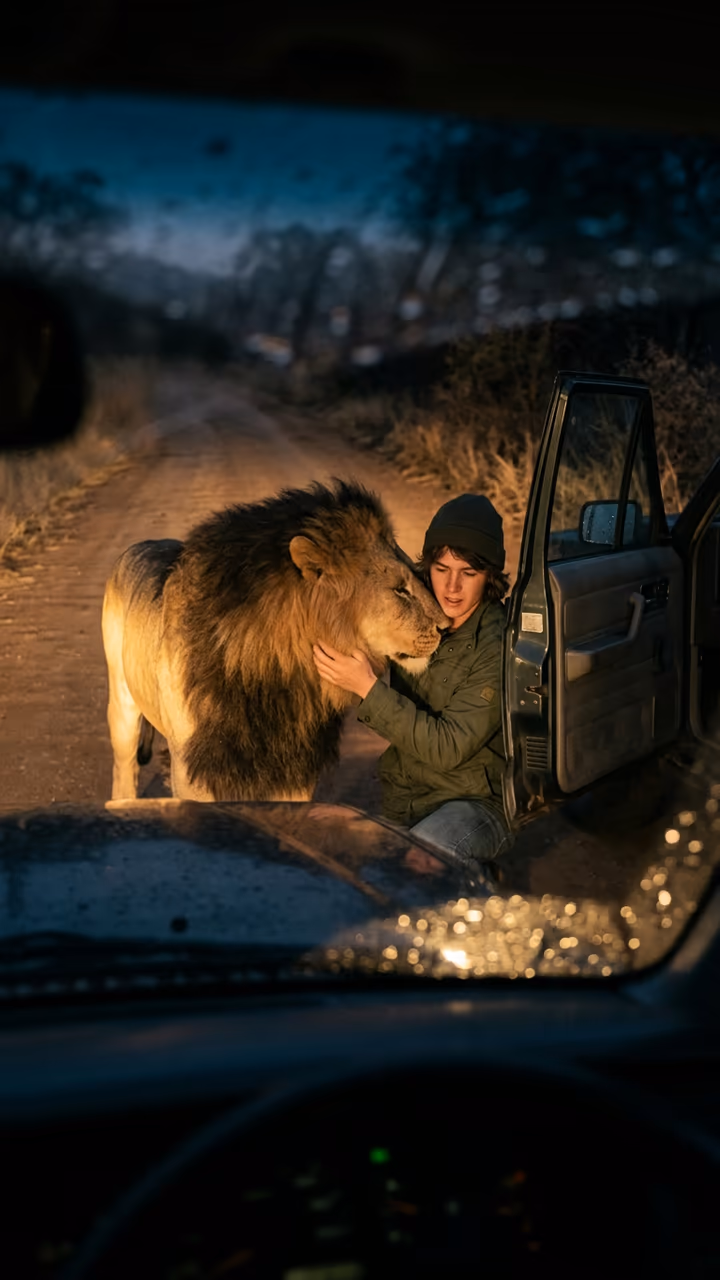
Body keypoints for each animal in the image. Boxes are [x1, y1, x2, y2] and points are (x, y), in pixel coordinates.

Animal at [102, 478, 448, 802]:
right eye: (399, 589)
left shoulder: (294, 770)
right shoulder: (195, 773)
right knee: (123, 768)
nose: (445, 626)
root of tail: (144, 543)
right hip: (122, 707)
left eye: (419, 575)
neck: (280, 673)